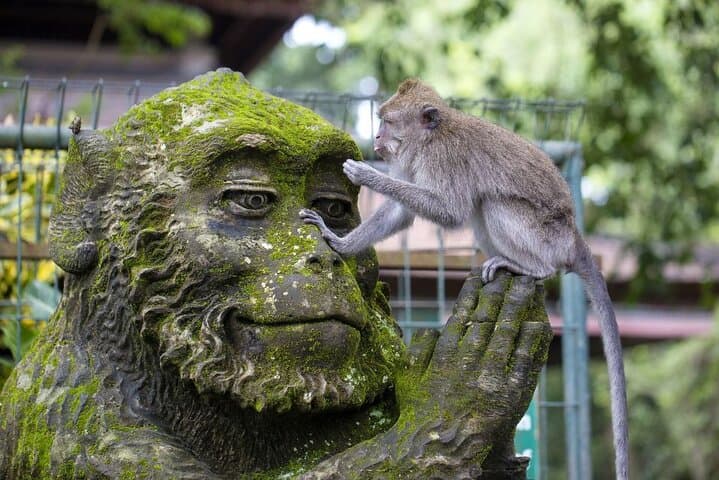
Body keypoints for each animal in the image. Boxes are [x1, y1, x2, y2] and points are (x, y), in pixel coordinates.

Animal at [300, 78, 628, 480]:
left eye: (388, 121)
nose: (376, 136)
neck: (430, 138)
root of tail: (574, 237)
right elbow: (402, 214)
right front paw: (339, 242)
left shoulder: (442, 159)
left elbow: (450, 210)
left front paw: (368, 175)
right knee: (479, 208)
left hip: (546, 238)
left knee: (491, 204)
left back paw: (532, 268)